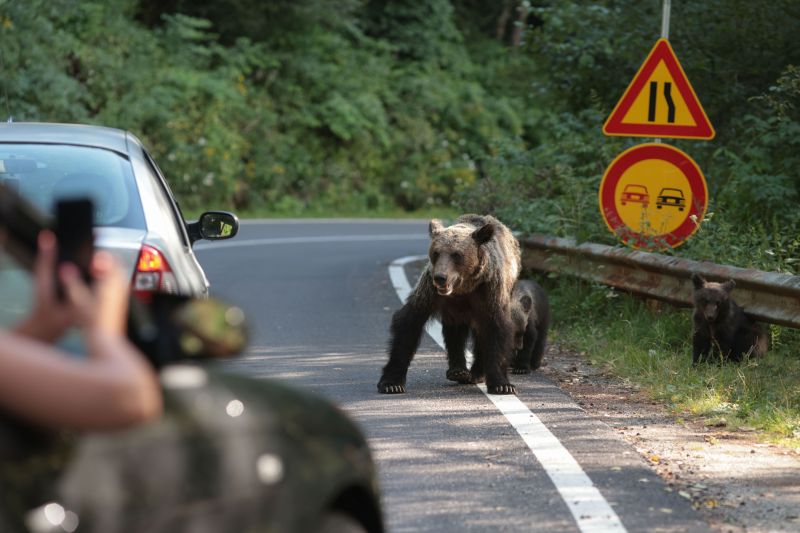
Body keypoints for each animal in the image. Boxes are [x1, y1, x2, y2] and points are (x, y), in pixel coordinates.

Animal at [377, 214, 521, 395]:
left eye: (456, 254)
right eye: (436, 252)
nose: (440, 277)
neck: (463, 287)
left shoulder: (489, 292)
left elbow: (496, 329)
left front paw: (502, 385)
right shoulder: (429, 292)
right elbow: (409, 324)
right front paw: (391, 383)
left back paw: (476, 373)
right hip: (453, 309)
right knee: (454, 331)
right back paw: (458, 371)